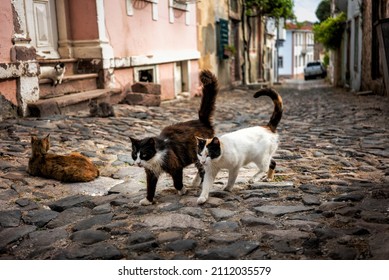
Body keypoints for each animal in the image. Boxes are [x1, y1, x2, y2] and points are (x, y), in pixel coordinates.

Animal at [129, 70, 217, 206]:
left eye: (143, 154)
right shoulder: (151, 173)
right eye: (134, 155)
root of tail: (202, 122)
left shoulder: (175, 166)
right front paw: (148, 200)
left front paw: (182, 190)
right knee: (200, 168)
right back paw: (195, 182)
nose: (138, 163)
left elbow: (177, 182)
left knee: (204, 168)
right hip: (197, 155)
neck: (154, 159)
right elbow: (150, 187)